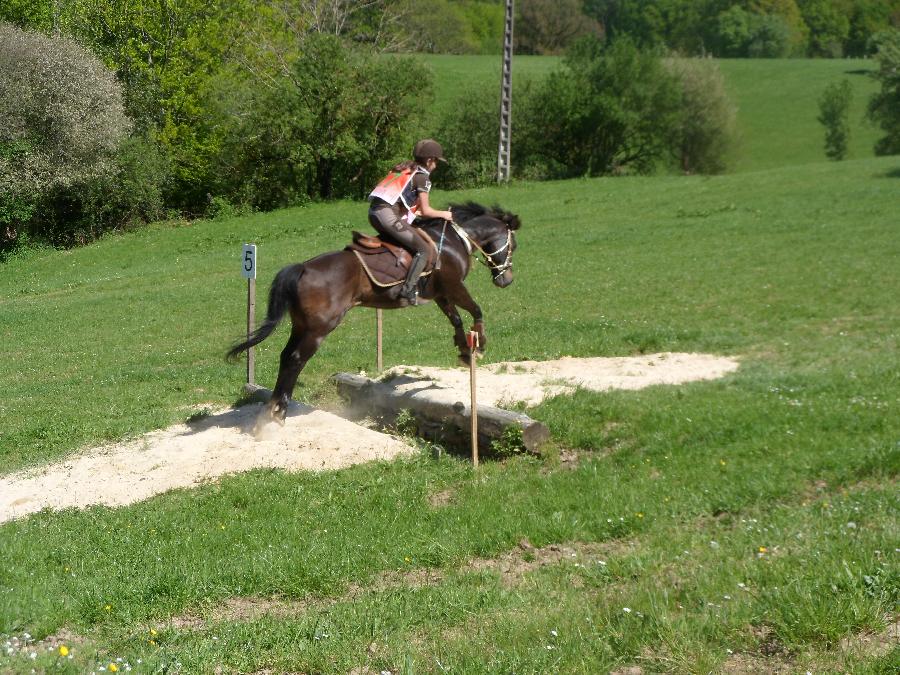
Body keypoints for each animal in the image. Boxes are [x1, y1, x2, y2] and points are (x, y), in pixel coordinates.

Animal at [227, 202, 520, 422]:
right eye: (514, 246)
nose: (507, 280)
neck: (454, 240)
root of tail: (304, 267)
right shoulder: (454, 285)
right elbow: (475, 309)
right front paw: (479, 344)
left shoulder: (440, 293)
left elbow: (456, 318)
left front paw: (464, 349)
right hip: (320, 328)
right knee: (295, 359)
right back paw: (279, 412)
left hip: (302, 325)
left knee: (285, 356)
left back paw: (272, 407)